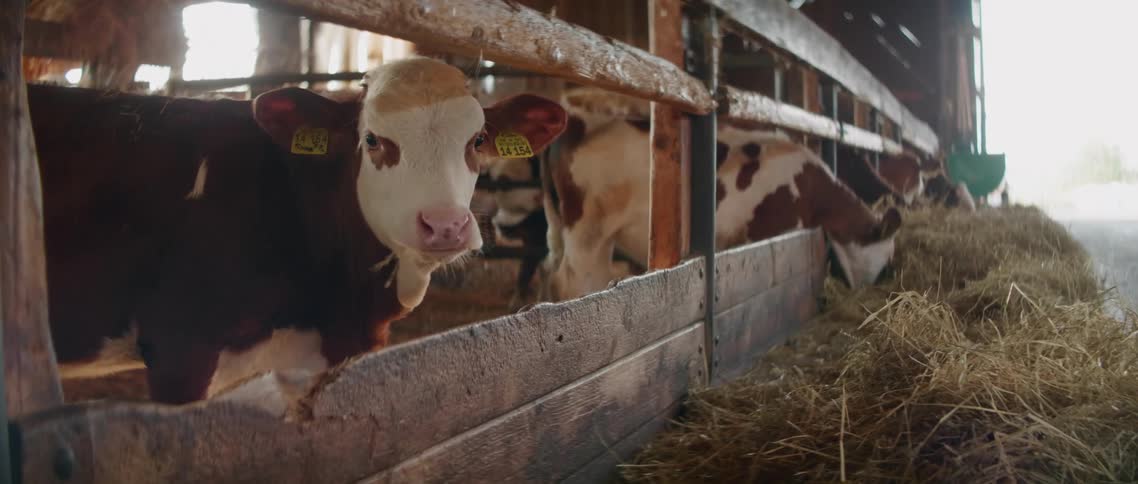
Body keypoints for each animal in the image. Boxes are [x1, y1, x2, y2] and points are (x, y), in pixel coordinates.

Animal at [543, 92, 901, 301]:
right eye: (887, 261)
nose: (880, 285)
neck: (811, 189)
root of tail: (579, 121)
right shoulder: (769, 229)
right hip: (589, 232)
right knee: (573, 282)